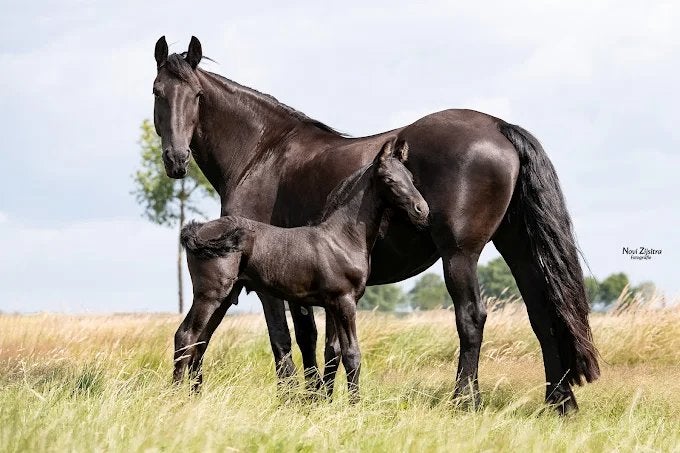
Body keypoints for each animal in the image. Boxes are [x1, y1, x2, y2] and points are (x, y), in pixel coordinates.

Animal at [175, 140, 429, 400]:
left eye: (410, 176)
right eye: (389, 179)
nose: (422, 210)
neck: (342, 238)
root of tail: (197, 230)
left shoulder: (334, 305)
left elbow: (334, 352)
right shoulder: (344, 301)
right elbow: (352, 354)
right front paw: (354, 404)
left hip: (225, 298)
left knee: (200, 342)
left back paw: (195, 396)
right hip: (209, 294)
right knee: (185, 336)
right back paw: (175, 395)